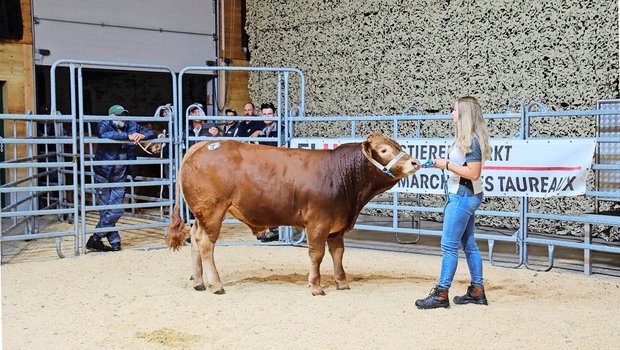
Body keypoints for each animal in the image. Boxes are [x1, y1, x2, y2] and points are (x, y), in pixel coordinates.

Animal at [167, 133, 422, 296]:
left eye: (397, 145)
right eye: (384, 150)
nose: (415, 162)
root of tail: (203, 145)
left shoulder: (337, 226)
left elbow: (338, 254)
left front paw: (341, 282)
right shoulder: (318, 222)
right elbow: (317, 254)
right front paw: (316, 286)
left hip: (201, 214)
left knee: (195, 239)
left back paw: (199, 281)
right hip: (213, 211)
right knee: (206, 244)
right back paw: (217, 284)